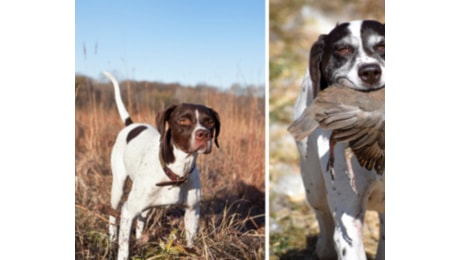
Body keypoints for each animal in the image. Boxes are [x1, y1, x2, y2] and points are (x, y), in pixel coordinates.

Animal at [103, 71, 221, 260]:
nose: (204, 134)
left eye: (209, 122)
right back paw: (112, 240)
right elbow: (124, 248)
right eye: (183, 120)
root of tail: (132, 124)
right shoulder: (128, 211)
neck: (176, 171)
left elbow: (190, 243)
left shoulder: (192, 212)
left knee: (142, 218)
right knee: (113, 216)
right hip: (118, 188)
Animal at [292, 20, 384, 260]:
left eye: (382, 46)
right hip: (314, 186)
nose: (371, 72)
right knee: (323, 216)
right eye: (342, 49)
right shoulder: (349, 223)